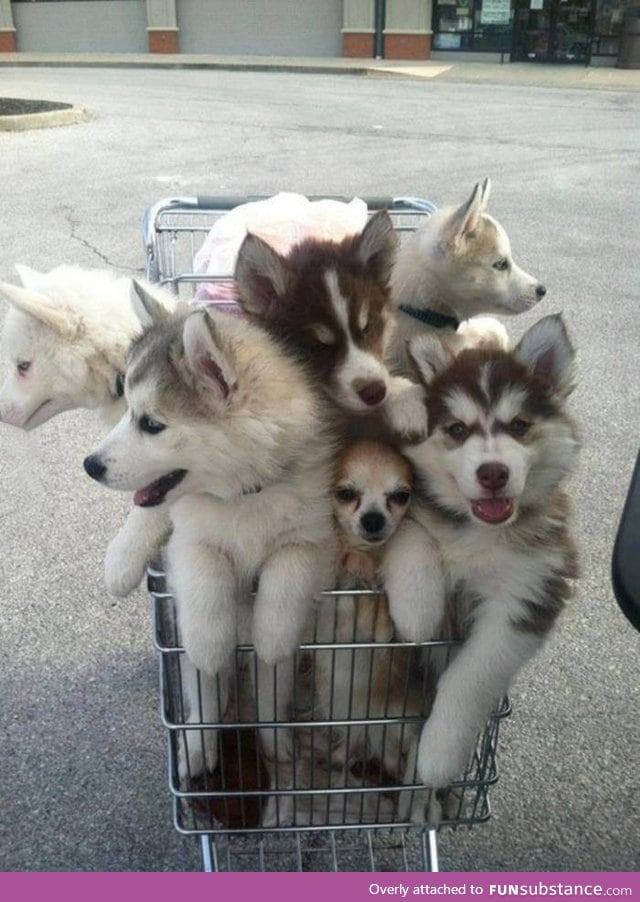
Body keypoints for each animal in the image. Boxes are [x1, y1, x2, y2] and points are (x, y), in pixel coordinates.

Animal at [81, 296, 336, 776]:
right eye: (127, 411)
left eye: (151, 424)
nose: (90, 465)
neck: (243, 495)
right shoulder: (191, 540)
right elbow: (205, 585)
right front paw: (208, 643)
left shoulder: (312, 535)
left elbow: (286, 582)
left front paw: (271, 635)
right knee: (205, 702)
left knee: (270, 694)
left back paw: (276, 742)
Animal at [404, 312, 580, 804]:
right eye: (457, 430)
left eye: (518, 425)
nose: (493, 473)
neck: (482, 532)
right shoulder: (414, 506)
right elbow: (415, 533)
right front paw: (417, 608)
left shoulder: (530, 592)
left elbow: (470, 675)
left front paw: (438, 754)